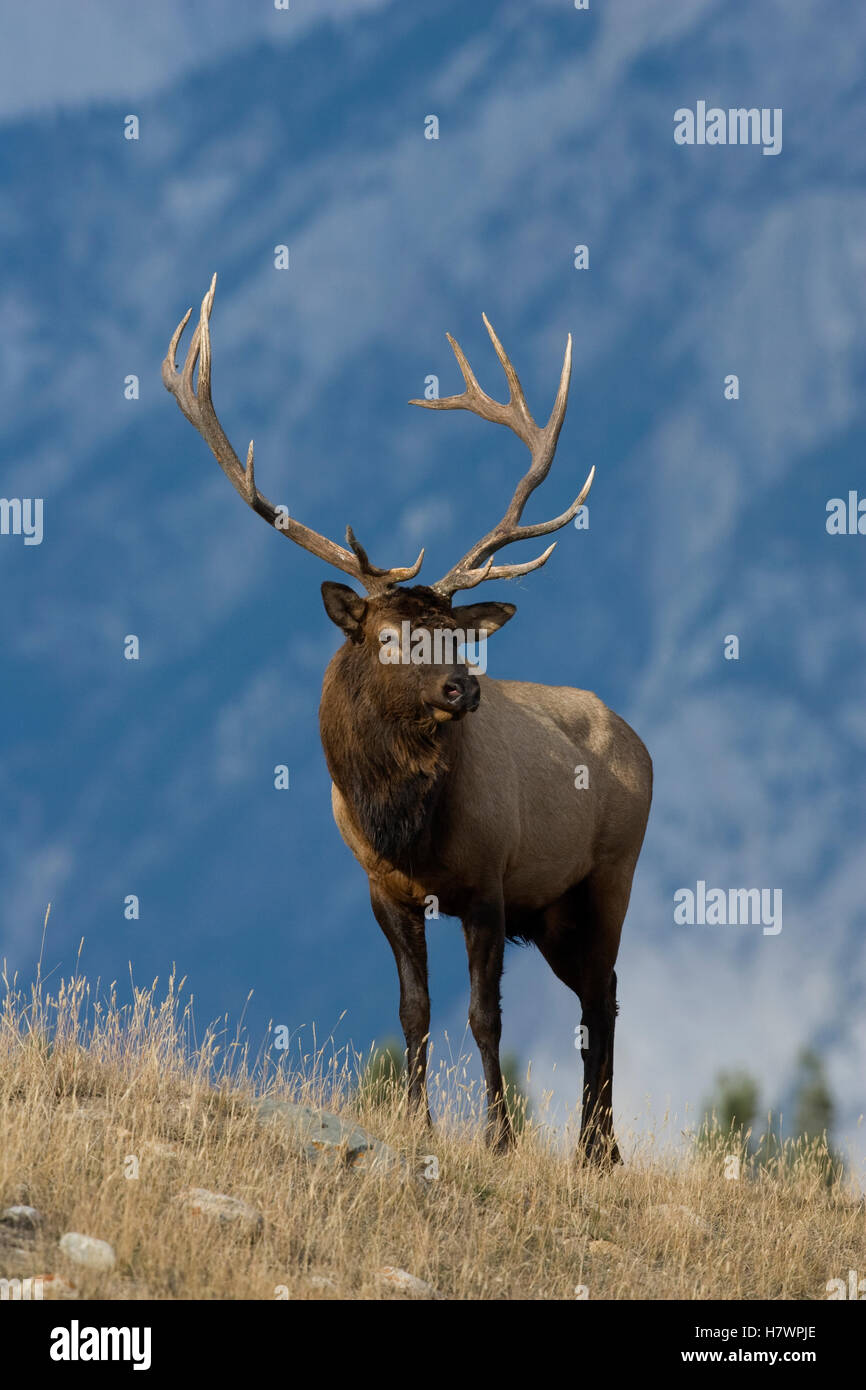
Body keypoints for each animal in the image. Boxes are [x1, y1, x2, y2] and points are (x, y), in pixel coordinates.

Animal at [163, 275, 652, 1164]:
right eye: (390, 633)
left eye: (457, 632)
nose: (463, 690)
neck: (403, 820)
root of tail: (639, 741)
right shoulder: (382, 888)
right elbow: (413, 1014)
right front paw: (418, 1123)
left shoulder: (489, 882)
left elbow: (486, 1018)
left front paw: (499, 1139)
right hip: (554, 911)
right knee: (597, 1000)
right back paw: (594, 1148)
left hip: (609, 875)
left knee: (602, 999)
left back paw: (597, 1150)